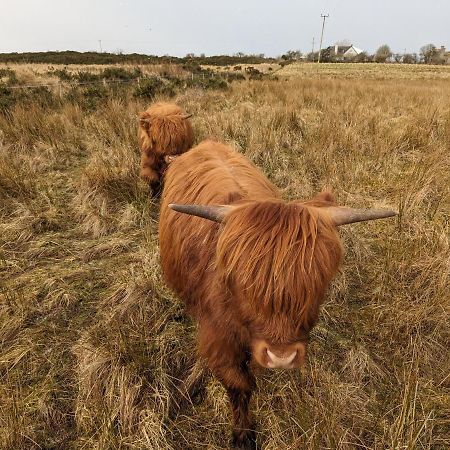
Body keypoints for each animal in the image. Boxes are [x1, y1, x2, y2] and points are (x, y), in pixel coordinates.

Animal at [159, 139, 398, 448]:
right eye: (241, 282)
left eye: (318, 283)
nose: (281, 357)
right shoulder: (218, 338)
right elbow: (239, 385)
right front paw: (243, 433)